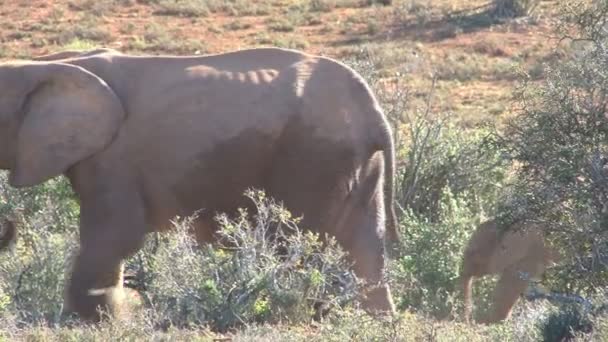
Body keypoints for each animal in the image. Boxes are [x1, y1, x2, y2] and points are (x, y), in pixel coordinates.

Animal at [0, 46, 400, 320]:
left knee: (311, 241)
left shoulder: (113, 158)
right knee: (366, 243)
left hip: (315, 157)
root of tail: (374, 112)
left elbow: (115, 234)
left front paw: (99, 320)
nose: (11, 224)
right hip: (353, 162)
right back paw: (376, 321)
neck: (44, 63)